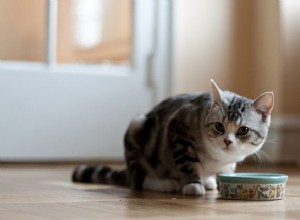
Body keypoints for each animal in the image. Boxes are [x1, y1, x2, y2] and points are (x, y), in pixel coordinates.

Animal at [72, 79, 274, 196]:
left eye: (243, 130)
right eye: (219, 126)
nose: (227, 141)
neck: (218, 157)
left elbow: (226, 171)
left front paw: (215, 180)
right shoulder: (178, 131)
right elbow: (188, 163)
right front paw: (193, 184)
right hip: (136, 129)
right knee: (139, 180)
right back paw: (166, 183)